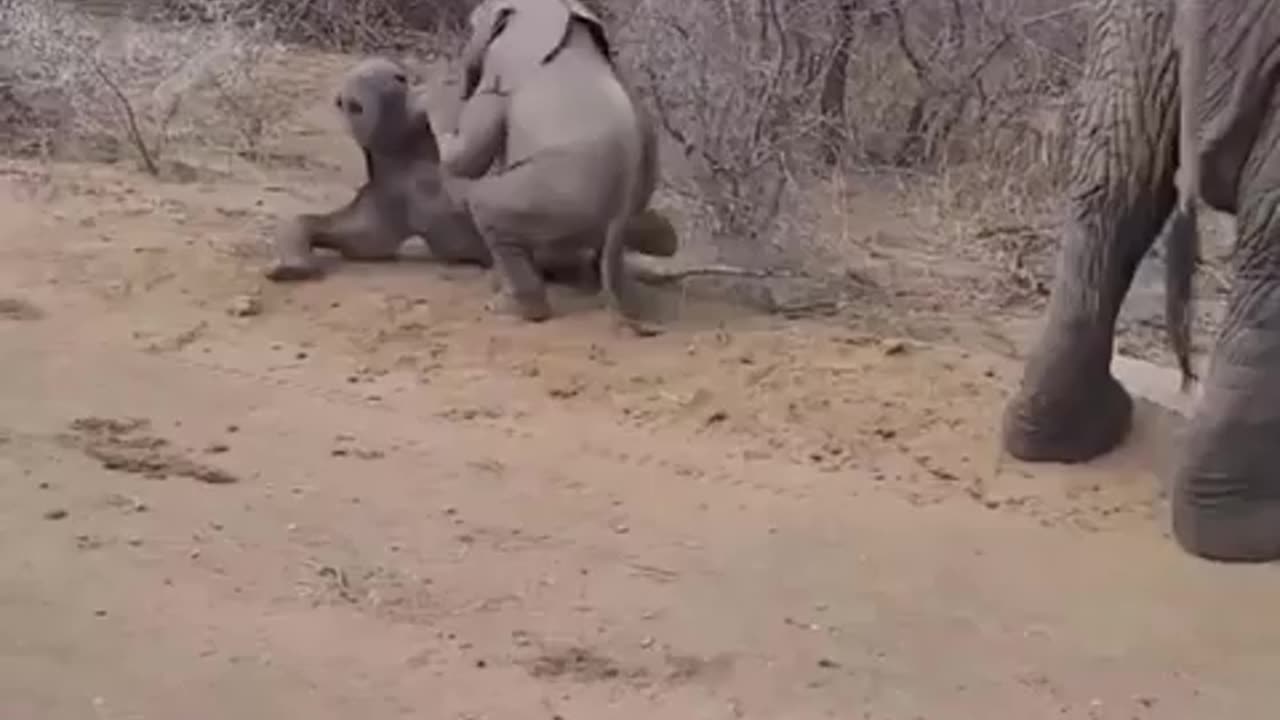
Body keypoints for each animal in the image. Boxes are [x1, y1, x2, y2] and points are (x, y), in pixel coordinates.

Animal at [264, 56, 678, 287]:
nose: (352, 101)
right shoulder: (388, 198)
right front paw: (291, 268)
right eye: (342, 101)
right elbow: (352, 237)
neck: (411, 156)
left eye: (398, 78)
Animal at [438, 0, 668, 332]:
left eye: (471, 26)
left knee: (487, 208)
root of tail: (619, 214)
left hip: (556, 195)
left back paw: (509, 309)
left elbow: (469, 157)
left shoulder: (499, 80)